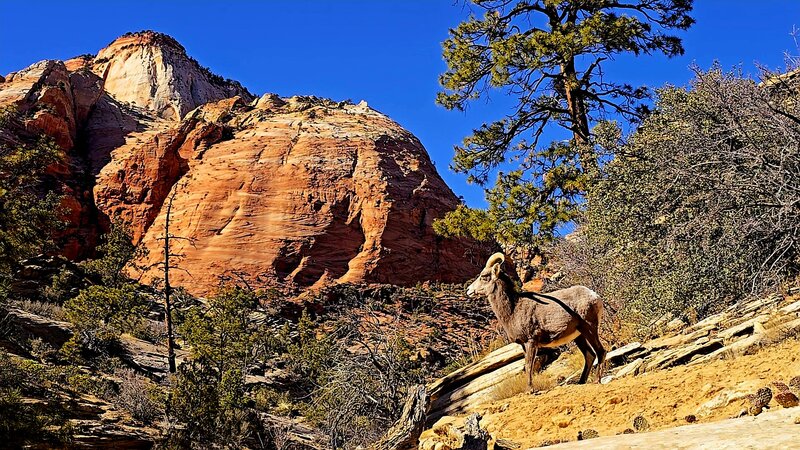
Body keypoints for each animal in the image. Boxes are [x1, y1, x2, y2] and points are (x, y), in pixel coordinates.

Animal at [466, 253, 604, 390]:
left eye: (484, 277)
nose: (468, 290)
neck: (513, 310)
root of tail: (594, 296)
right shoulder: (524, 345)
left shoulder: (531, 342)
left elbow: (529, 366)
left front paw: (530, 390)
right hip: (579, 336)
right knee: (590, 355)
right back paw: (581, 382)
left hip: (589, 328)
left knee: (600, 351)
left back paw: (596, 380)